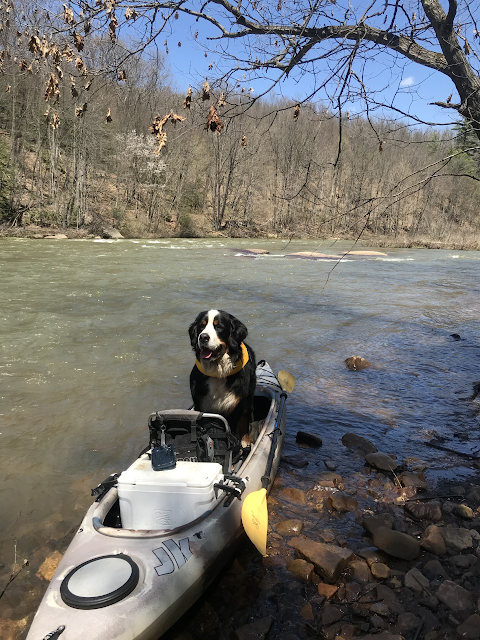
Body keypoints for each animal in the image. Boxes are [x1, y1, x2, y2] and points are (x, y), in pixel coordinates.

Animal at [188, 312, 256, 444]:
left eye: (218, 327)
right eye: (202, 326)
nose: (203, 337)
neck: (218, 373)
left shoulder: (240, 404)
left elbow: (241, 425)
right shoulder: (201, 405)